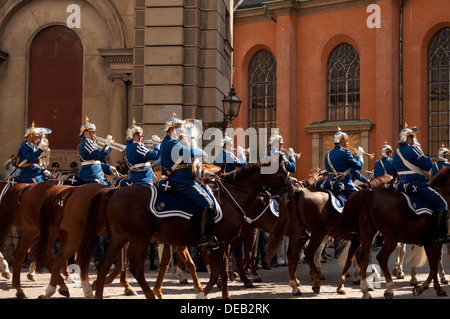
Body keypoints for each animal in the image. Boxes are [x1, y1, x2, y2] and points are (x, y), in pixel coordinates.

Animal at [77, 160, 292, 300]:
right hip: (139, 240)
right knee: (136, 269)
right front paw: (202, 294)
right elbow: (216, 272)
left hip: (119, 238)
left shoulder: (220, 244)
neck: (231, 199)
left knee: (104, 266)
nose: (290, 193)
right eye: (282, 174)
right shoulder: (220, 244)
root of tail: (113, 192)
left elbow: (220, 271)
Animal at [334, 168, 450, 300]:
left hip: (368, 233)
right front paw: (425, 285)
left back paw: (363, 289)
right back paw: (387, 288)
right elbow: (434, 264)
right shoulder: (434, 241)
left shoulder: (427, 241)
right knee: (380, 257)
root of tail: (370, 194)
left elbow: (432, 264)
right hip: (390, 238)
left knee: (361, 256)